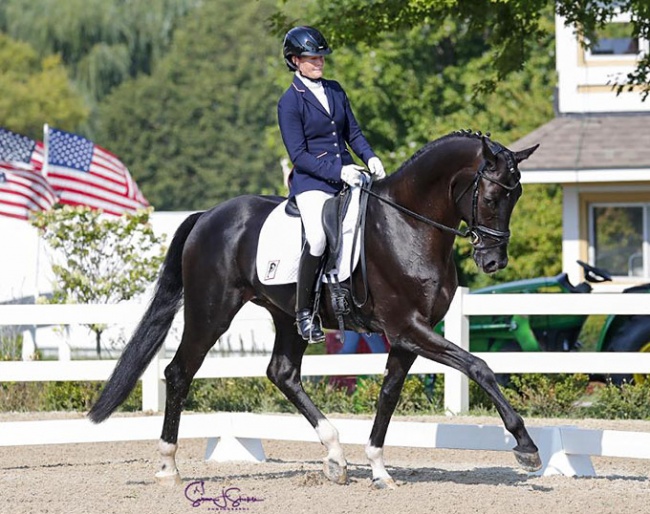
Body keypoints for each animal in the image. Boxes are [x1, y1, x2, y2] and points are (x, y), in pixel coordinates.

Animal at [88, 130, 540, 486]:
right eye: (493, 195)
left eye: (517, 194)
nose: (493, 261)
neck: (408, 225)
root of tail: (207, 216)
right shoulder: (408, 328)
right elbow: (479, 366)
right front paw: (526, 445)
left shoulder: (408, 335)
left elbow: (388, 394)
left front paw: (378, 469)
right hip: (210, 312)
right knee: (179, 372)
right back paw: (168, 466)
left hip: (290, 317)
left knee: (282, 373)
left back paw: (336, 456)